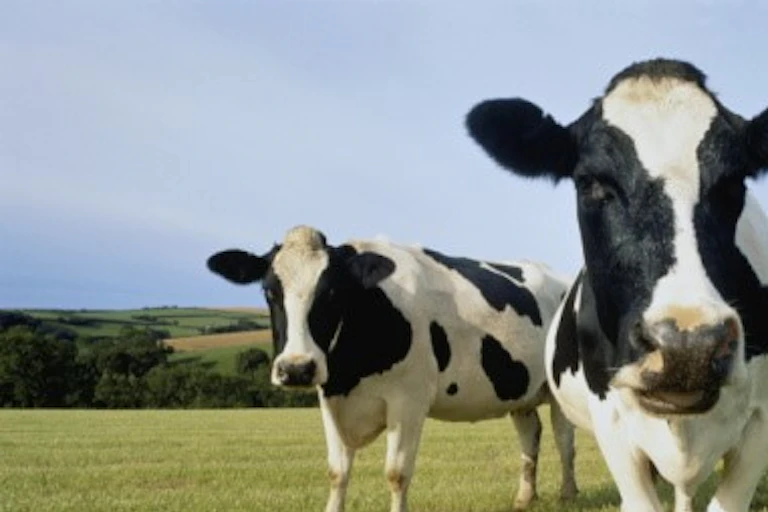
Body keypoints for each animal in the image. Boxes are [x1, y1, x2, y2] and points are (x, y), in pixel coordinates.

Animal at [207, 225, 577, 512]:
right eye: (269, 290)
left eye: (332, 292)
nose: (297, 369)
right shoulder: (330, 398)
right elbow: (336, 472)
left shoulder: (409, 400)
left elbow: (396, 473)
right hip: (520, 391)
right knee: (530, 437)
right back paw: (524, 498)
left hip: (559, 388)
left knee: (564, 439)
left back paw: (568, 494)